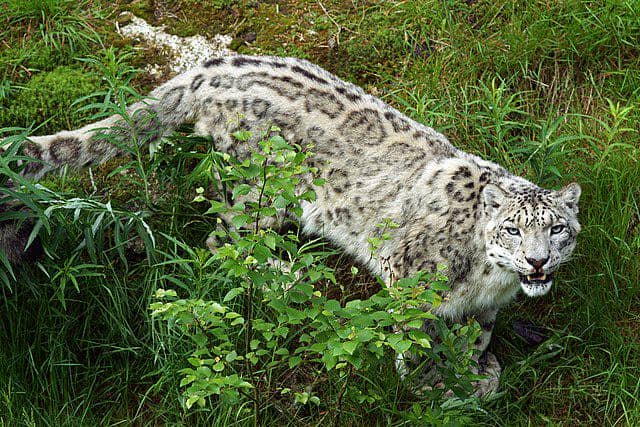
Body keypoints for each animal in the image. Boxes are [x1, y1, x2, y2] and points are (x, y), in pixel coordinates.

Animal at [1, 54, 581, 396]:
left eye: (557, 230)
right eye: (513, 229)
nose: (537, 262)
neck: (492, 278)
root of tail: (212, 67)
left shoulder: (486, 306)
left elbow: (477, 336)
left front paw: (477, 373)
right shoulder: (411, 280)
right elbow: (419, 338)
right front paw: (431, 386)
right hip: (258, 191)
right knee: (223, 242)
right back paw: (290, 277)